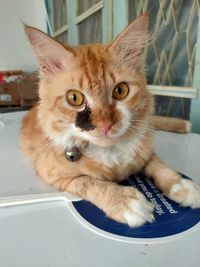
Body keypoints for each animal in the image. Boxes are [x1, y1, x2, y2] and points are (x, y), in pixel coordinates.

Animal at [20, 14, 200, 228]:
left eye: (120, 91)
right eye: (74, 98)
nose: (105, 125)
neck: (111, 152)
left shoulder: (146, 150)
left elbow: (160, 165)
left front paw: (180, 184)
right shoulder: (54, 173)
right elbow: (90, 183)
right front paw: (125, 202)